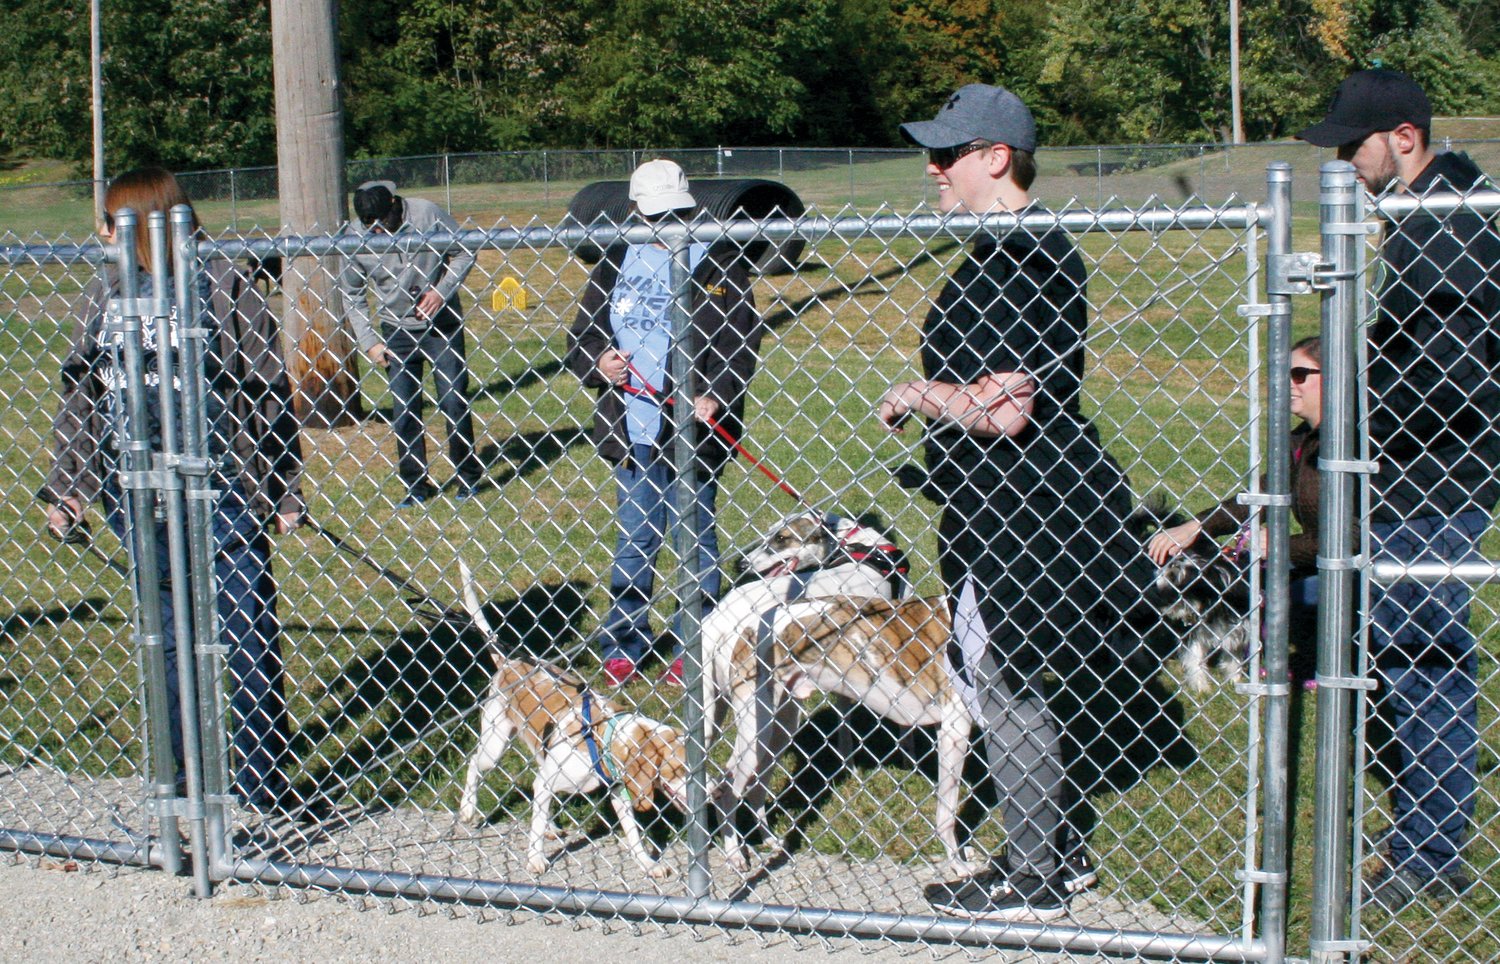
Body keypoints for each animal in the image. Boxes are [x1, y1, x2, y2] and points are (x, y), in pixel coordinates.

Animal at [456, 566, 690, 881]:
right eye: (677, 769)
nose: (710, 792)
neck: (602, 736)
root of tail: (510, 663)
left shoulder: (619, 792)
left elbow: (633, 834)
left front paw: (647, 863)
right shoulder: (550, 779)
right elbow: (535, 830)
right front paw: (535, 859)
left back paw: (551, 828)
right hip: (494, 747)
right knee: (474, 765)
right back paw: (469, 809)